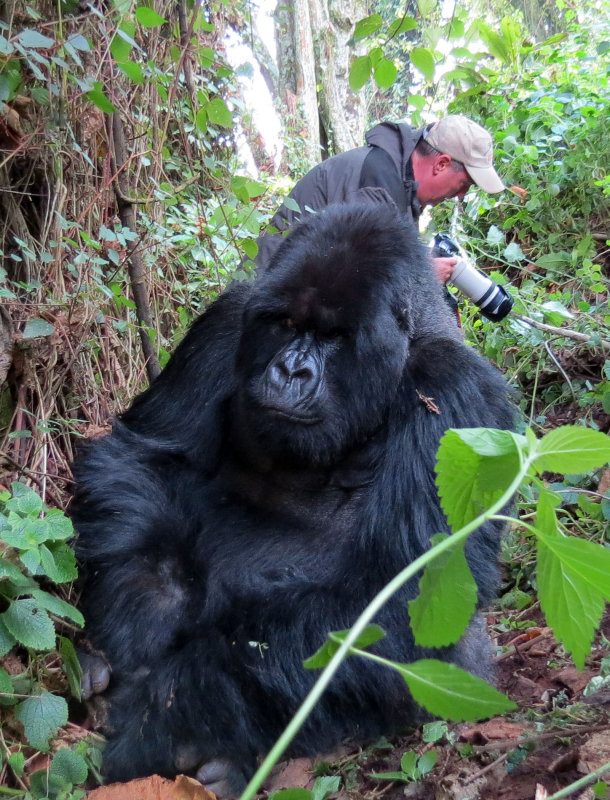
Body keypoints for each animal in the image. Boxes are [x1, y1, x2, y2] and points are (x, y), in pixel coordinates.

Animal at [69, 205, 510, 792]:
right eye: (285, 325)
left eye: (332, 336)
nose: (290, 369)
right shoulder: (225, 321)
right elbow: (145, 458)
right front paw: (140, 622)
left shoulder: (458, 392)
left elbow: (411, 594)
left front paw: (165, 714)